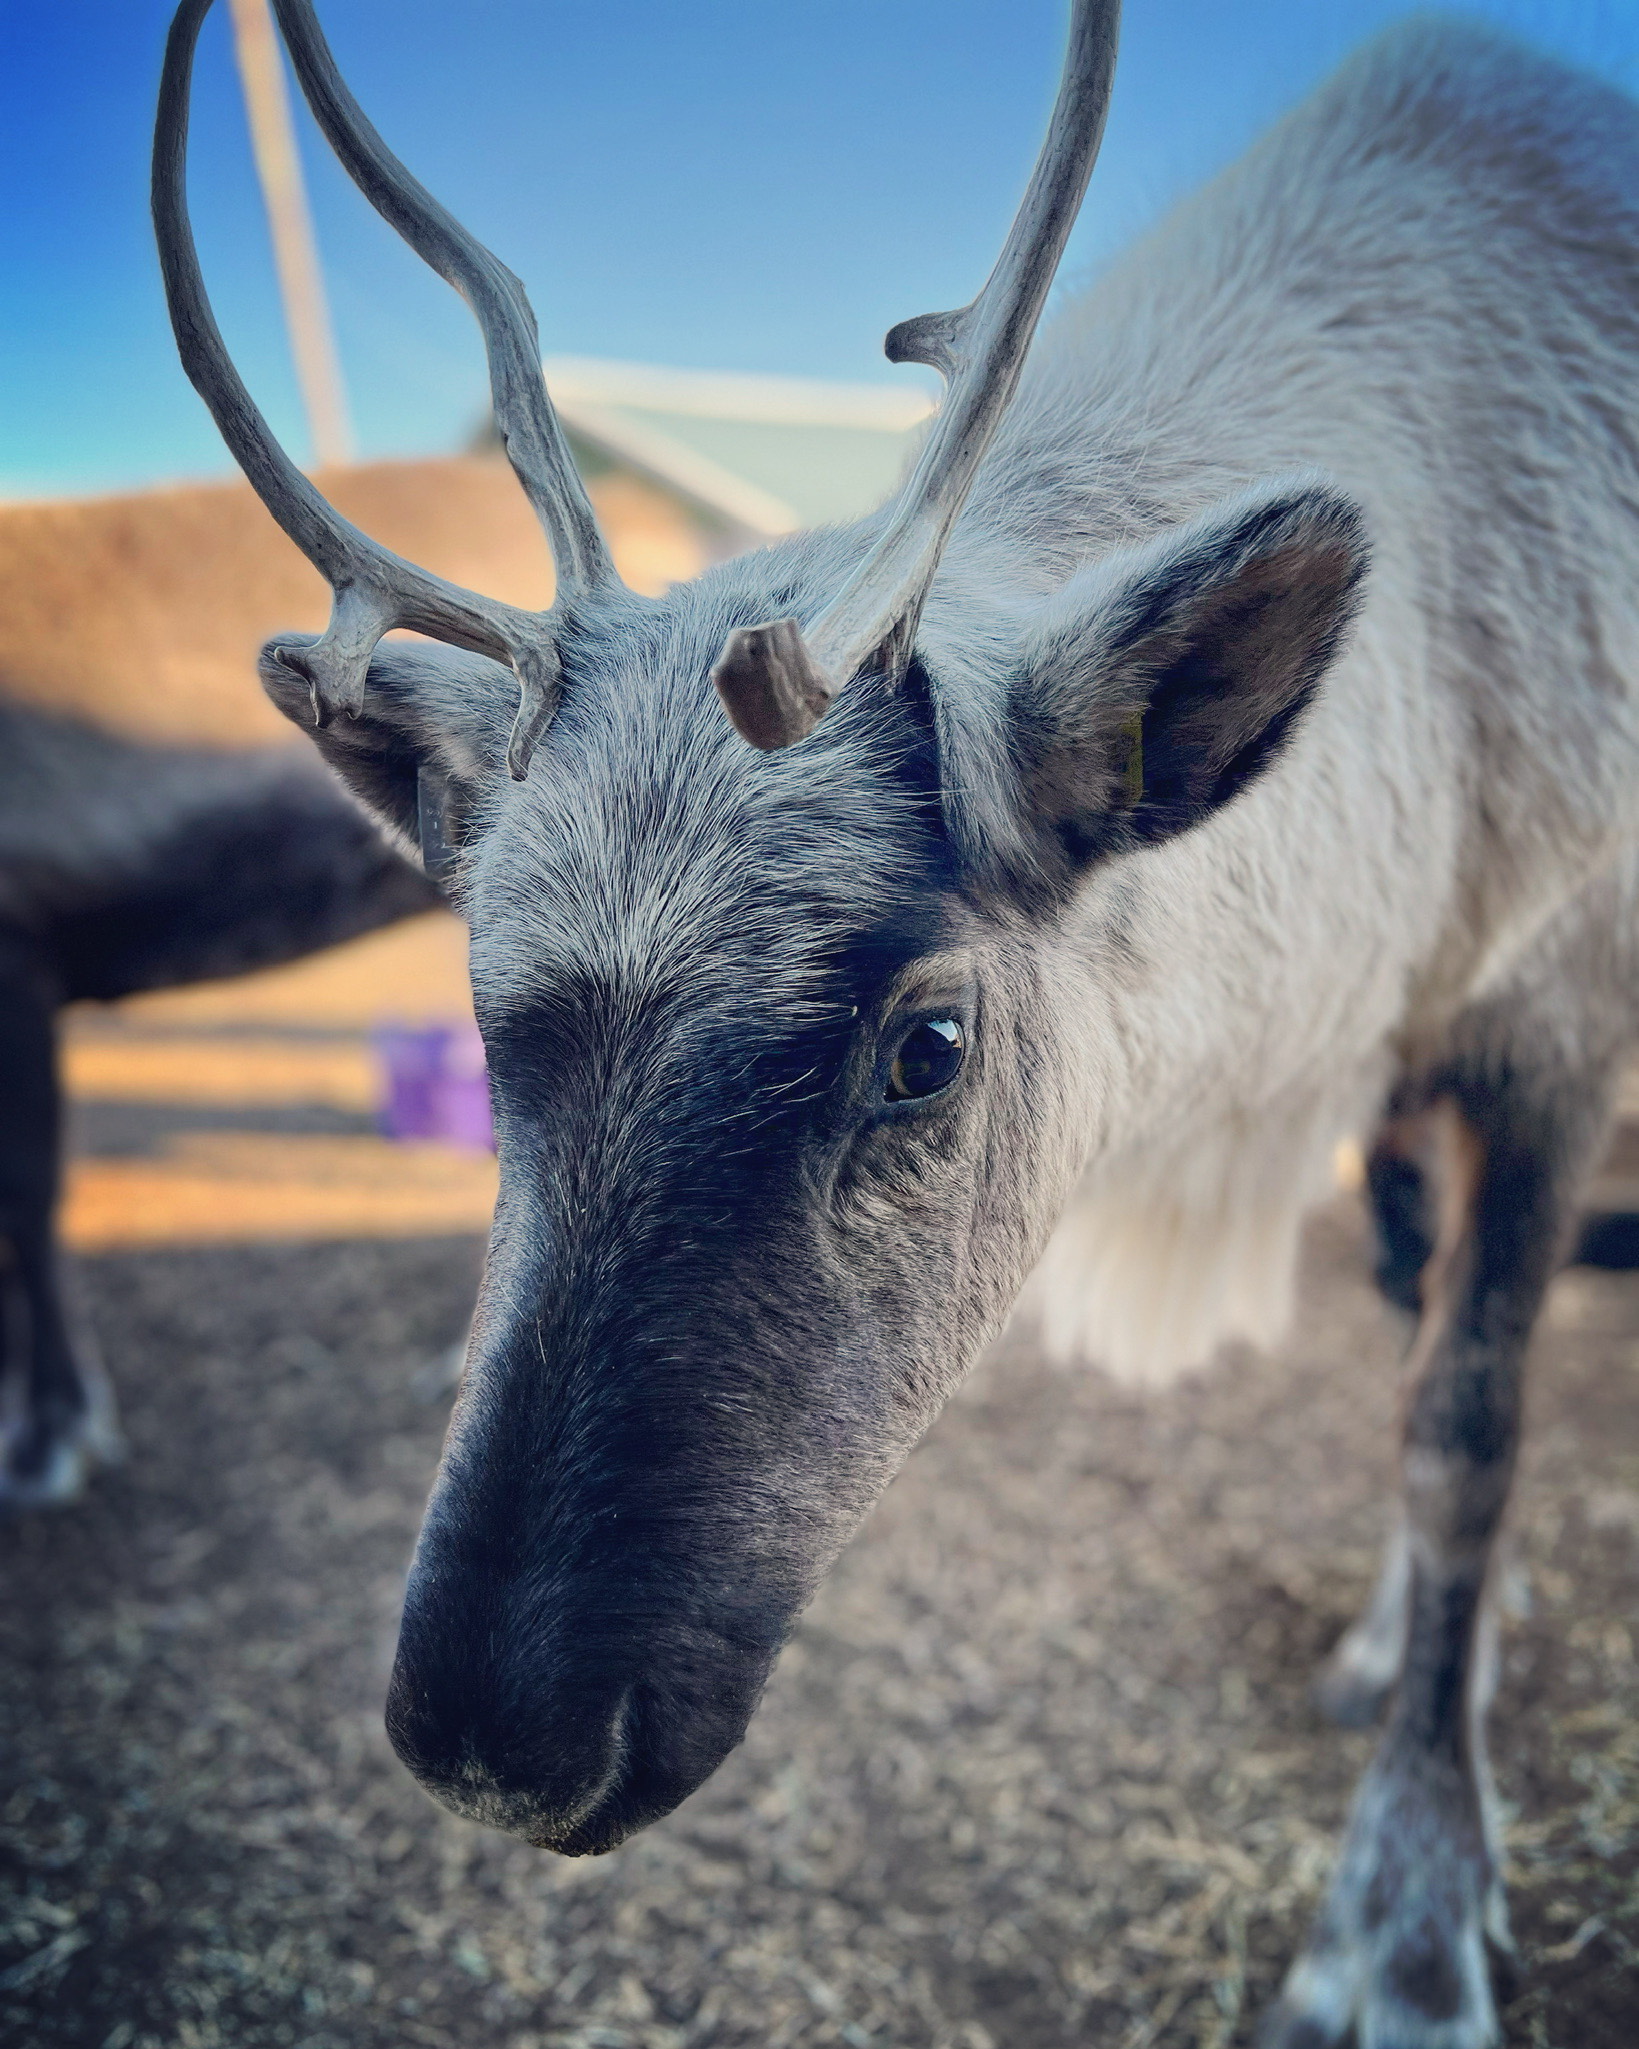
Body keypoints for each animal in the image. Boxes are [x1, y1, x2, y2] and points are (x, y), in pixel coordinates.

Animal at [153, 2, 1639, 2041]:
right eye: (483, 1024)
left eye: (923, 1048)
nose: (491, 1752)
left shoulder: (1550, 1022)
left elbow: (1463, 1428)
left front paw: (1406, 1922)